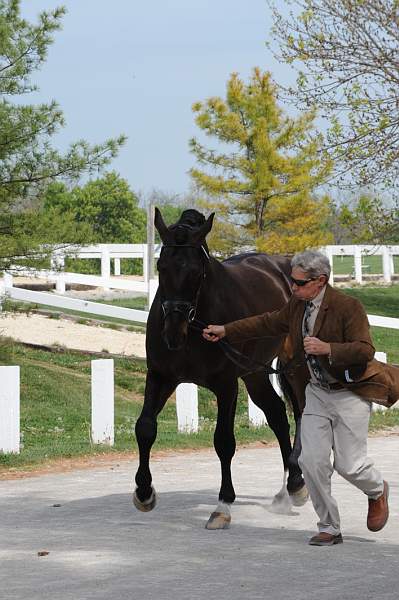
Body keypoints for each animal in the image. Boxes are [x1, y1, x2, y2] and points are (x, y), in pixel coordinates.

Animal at [133, 209, 308, 528]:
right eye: (161, 266)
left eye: (197, 272)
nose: (173, 333)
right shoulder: (161, 377)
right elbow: (145, 428)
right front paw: (144, 492)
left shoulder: (226, 385)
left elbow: (224, 442)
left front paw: (223, 505)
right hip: (255, 373)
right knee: (277, 415)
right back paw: (288, 488)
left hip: (295, 367)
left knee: (300, 412)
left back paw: (298, 485)